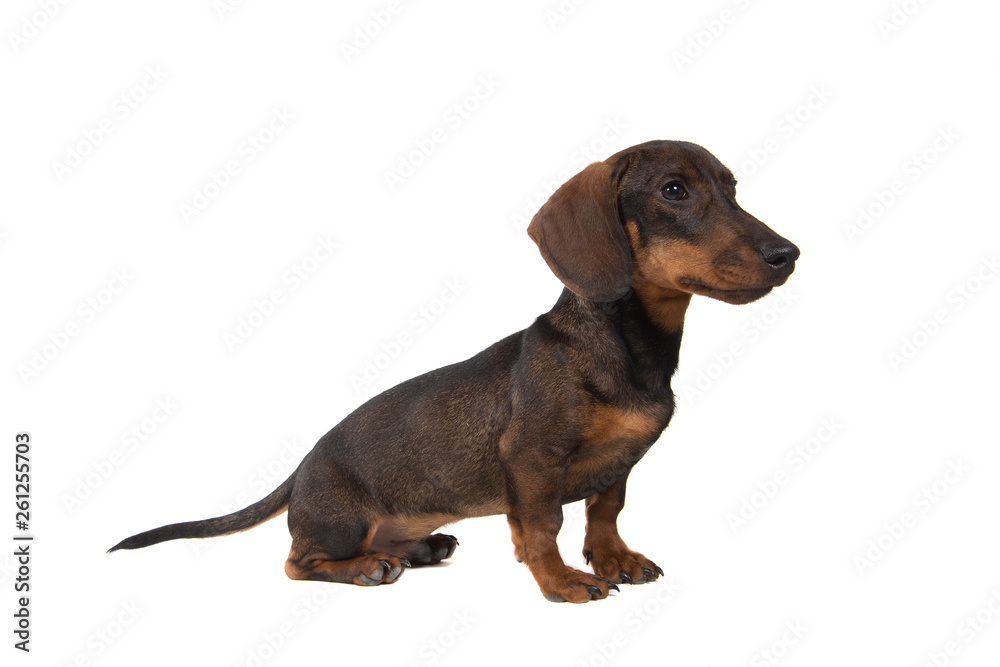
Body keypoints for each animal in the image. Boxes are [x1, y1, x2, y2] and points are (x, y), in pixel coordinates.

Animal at [111, 141, 796, 604]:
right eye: (674, 191)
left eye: (733, 189)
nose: (787, 254)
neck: (629, 349)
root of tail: (302, 468)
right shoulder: (532, 455)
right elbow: (544, 526)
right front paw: (561, 581)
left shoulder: (621, 463)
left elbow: (605, 511)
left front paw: (613, 559)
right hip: (339, 521)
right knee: (297, 562)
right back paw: (366, 567)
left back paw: (420, 546)